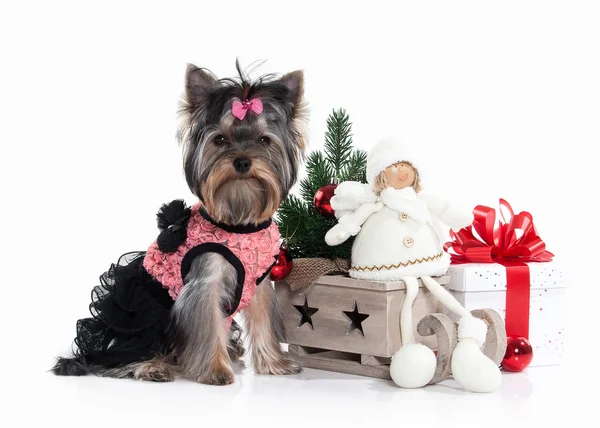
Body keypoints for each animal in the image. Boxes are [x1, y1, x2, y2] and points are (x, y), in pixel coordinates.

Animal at [51, 61, 310, 386]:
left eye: (264, 140)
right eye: (219, 139)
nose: (242, 161)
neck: (237, 221)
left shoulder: (260, 282)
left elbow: (263, 321)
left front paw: (274, 364)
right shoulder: (204, 281)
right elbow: (207, 324)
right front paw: (216, 370)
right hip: (146, 316)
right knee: (118, 356)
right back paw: (151, 366)